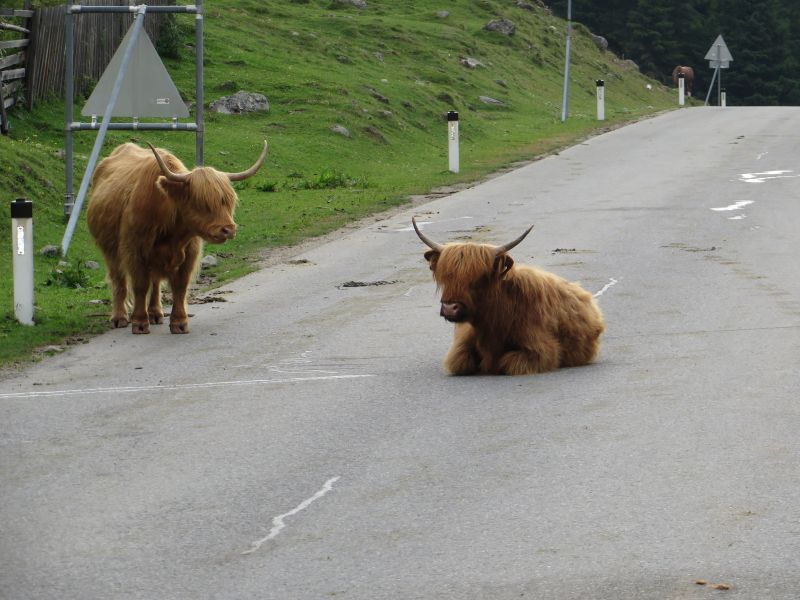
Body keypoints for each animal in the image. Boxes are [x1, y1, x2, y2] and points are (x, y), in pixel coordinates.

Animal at [412, 216, 608, 376]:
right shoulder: (459, 350)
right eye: (447, 276)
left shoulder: (540, 351)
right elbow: (461, 361)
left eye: (480, 277)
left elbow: (507, 362)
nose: (450, 308)